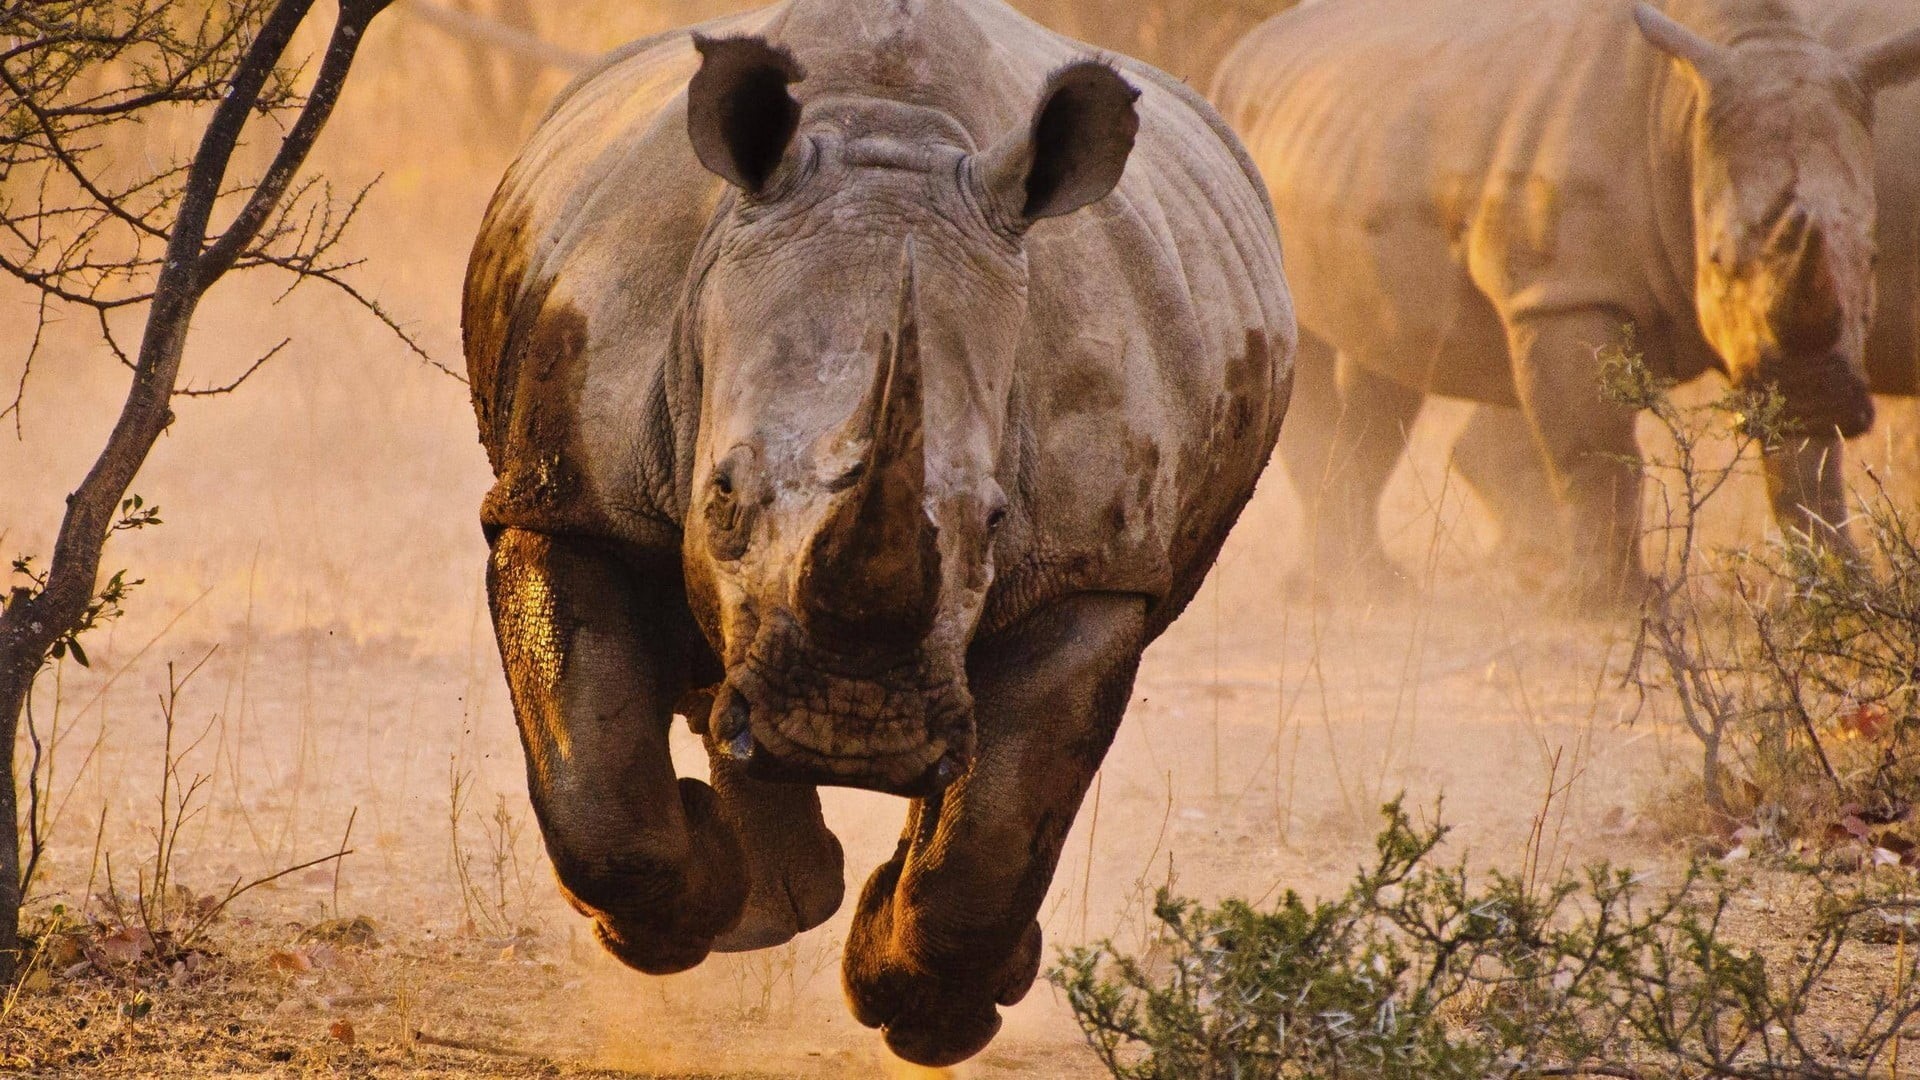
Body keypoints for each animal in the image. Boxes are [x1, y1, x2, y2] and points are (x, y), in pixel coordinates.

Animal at [462, 0, 1294, 1065]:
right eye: (720, 495)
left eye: (993, 521)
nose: (849, 730)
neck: (888, 140)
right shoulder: (566, 492)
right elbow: (599, 793)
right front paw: (673, 919)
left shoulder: (1094, 565)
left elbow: (997, 829)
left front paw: (926, 1015)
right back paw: (771, 901)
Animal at [1211, 0, 1920, 599]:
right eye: (1717, 259)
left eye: (1873, 258)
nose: (1820, 394)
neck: (1681, 115)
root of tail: (1243, 51)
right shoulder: (1565, 294)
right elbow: (1595, 452)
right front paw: (1610, 605)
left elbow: (1808, 467)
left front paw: (1847, 593)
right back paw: (1342, 593)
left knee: (1385, 368)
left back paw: (1371, 585)